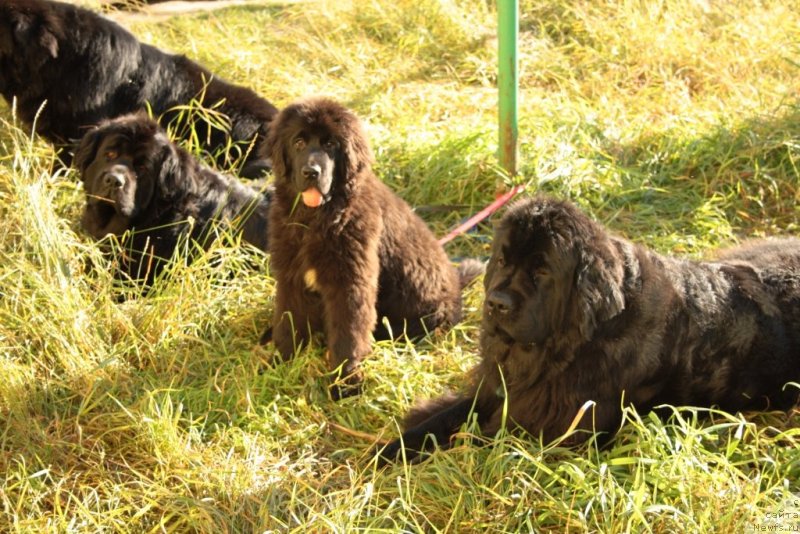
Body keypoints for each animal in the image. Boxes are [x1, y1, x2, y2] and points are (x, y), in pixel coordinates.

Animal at [266, 97, 484, 398]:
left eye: (331, 144)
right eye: (298, 142)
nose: (311, 172)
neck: (317, 219)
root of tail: (457, 287)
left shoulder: (351, 283)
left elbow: (348, 334)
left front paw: (345, 383)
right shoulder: (291, 275)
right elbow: (289, 319)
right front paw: (281, 363)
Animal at [380, 197, 800, 464]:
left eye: (542, 271)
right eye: (501, 259)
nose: (496, 303)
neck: (572, 344)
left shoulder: (553, 426)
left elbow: (477, 435)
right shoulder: (501, 386)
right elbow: (449, 416)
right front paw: (390, 449)